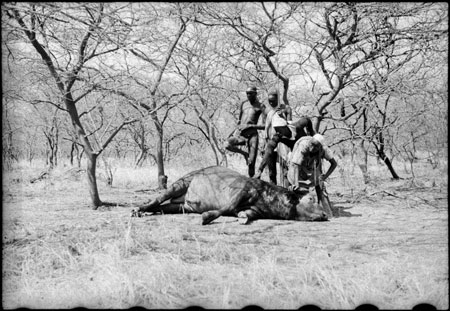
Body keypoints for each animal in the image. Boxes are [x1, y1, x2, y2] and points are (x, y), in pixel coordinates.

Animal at [130, 167, 326, 225]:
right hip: (180, 184)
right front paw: (207, 217)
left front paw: (242, 218)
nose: (325, 214)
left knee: (162, 207)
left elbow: (246, 214)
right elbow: (227, 207)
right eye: (310, 199)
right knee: (157, 199)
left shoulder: (254, 210)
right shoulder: (242, 192)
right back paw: (139, 209)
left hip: (182, 206)